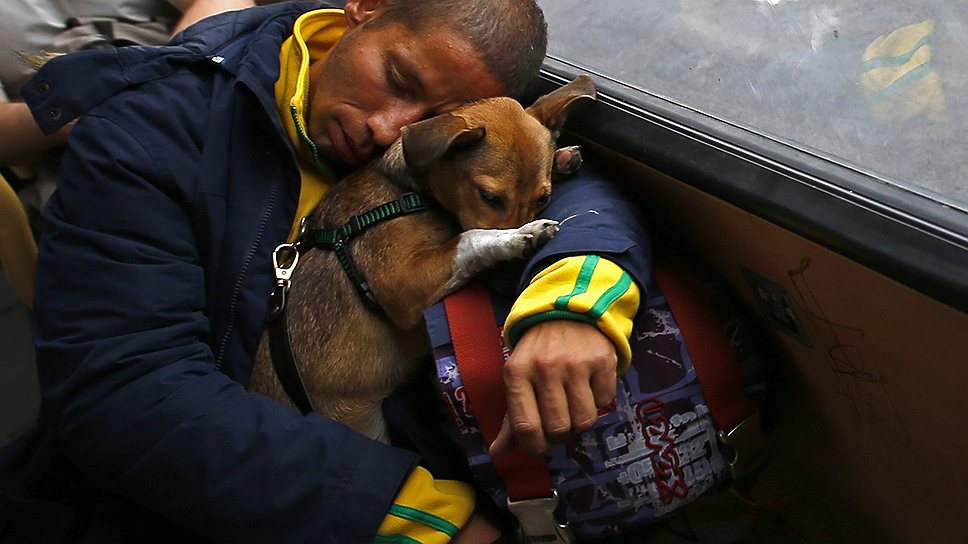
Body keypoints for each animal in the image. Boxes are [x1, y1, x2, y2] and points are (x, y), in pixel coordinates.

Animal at [248, 76, 596, 440]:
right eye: (489, 197)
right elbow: (469, 238)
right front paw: (519, 236)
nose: (513, 279)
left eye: (543, 198)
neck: (410, 190)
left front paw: (561, 159)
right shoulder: (400, 285)